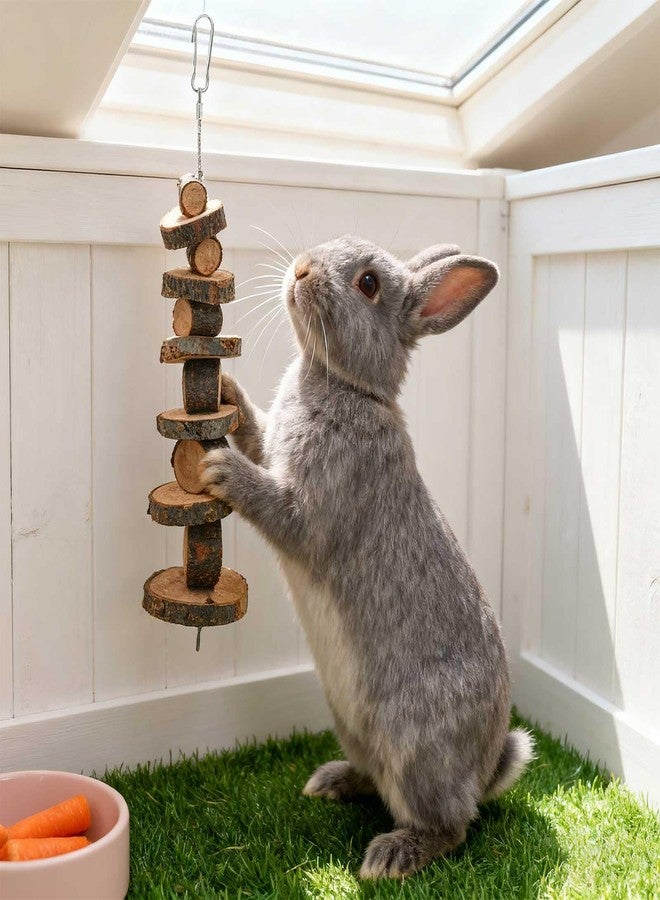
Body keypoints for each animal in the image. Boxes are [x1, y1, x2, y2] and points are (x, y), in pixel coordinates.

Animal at [200, 235, 534, 879]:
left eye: (370, 285)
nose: (302, 269)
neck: (346, 384)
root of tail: (485, 773)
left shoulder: (312, 511)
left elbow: (279, 510)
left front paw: (220, 470)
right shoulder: (272, 445)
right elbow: (254, 430)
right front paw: (227, 391)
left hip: (413, 746)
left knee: (452, 825)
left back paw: (392, 855)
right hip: (348, 722)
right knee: (377, 780)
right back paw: (330, 782)